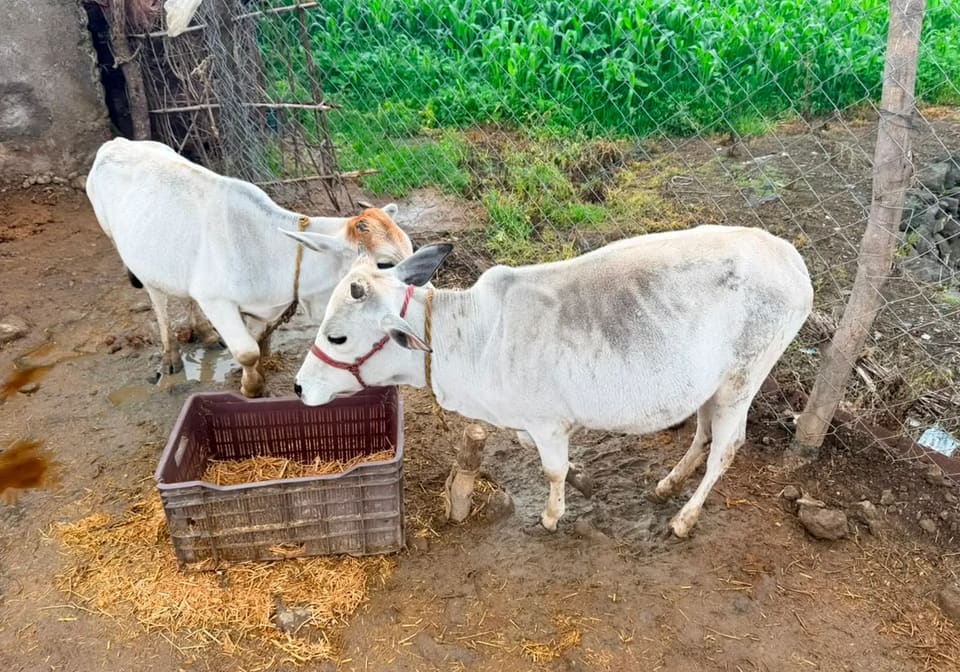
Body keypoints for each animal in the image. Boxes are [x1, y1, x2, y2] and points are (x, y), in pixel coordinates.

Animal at [86, 137, 414, 397]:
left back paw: (205, 334)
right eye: (384, 263)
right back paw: (170, 357)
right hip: (128, 252)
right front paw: (251, 388)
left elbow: (257, 343)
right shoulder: (216, 301)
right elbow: (246, 351)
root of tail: (114, 142)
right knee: (158, 302)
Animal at [287, 225, 813, 538]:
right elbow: (545, 458)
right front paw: (584, 481)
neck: (475, 337)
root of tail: (790, 257)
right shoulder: (527, 422)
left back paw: (685, 518)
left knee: (725, 447)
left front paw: (552, 514)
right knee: (702, 434)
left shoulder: (547, 421)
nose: (299, 388)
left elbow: (552, 470)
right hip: (710, 384)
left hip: (742, 381)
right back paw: (667, 485)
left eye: (337, 337)